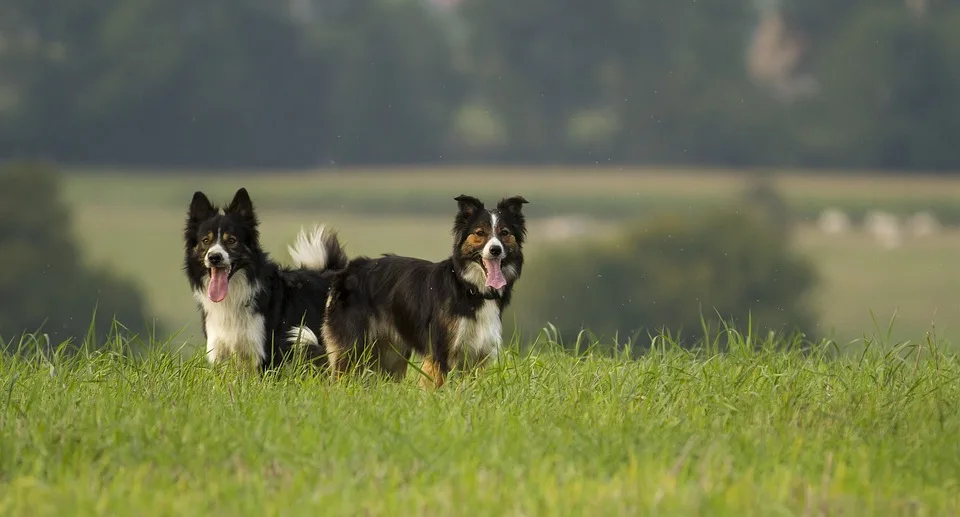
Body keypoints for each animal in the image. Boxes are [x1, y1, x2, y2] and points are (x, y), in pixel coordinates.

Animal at [182, 187, 346, 368]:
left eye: (231, 240)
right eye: (206, 241)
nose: (214, 257)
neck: (235, 294)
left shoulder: (266, 355)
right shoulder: (220, 354)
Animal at [326, 194, 528, 388]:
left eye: (504, 233)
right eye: (480, 233)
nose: (495, 250)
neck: (469, 288)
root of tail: (349, 269)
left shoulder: (476, 358)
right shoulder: (440, 353)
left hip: (391, 355)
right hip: (352, 349)